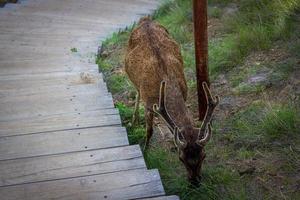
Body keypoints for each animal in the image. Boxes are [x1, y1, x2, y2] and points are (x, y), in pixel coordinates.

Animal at [125, 17, 220, 184]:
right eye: (181, 159)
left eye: (204, 156)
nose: (195, 182)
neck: (167, 82)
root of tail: (145, 20)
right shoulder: (149, 104)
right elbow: (149, 131)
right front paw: (145, 150)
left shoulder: (185, 93)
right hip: (126, 70)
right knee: (136, 91)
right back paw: (134, 120)